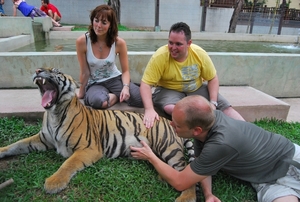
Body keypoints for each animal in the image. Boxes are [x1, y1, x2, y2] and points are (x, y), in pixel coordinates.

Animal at [0, 68, 197, 202]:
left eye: (56, 71)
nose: (38, 71)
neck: (54, 113)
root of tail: (171, 122)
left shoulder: (89, 148)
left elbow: (67, 164)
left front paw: (53, 183)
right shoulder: (42, 139)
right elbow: (17, 144)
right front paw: (2, 151)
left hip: (168, 147)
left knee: (185, 174)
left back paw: (185, 198)